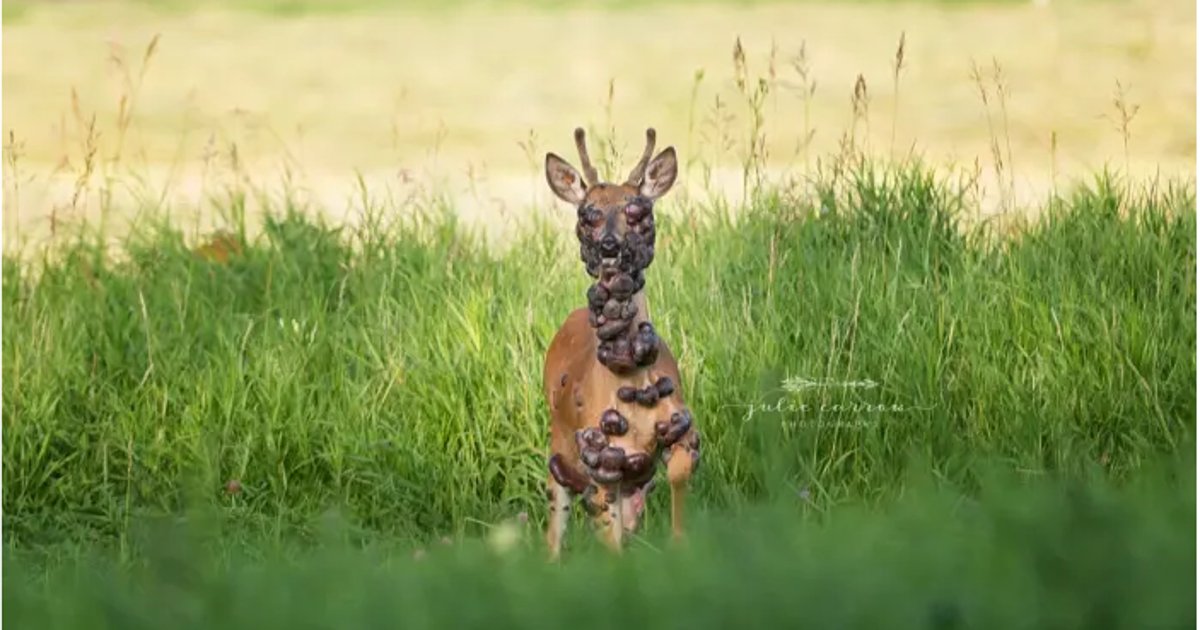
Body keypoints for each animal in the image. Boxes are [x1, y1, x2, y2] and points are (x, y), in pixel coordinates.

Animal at [540, 125, 700, 556]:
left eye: (639, 211)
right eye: (586, 214)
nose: (610, 247)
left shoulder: (680, 425)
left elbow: (679, 473)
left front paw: (681, 544)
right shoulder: (599, 454)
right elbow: (608, 537)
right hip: (560, 443)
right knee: (555, 526)